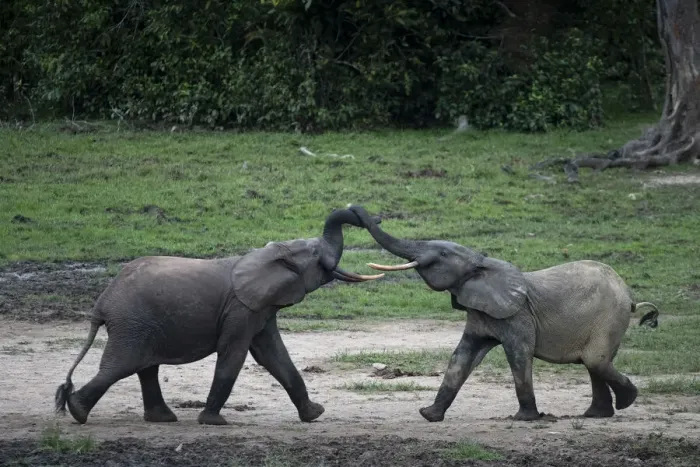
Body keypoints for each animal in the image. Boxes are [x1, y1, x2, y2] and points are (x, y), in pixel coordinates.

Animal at [55, 208, 384, 426]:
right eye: (317, 254)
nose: (373, 217)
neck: (268, 255)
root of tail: (101, 303)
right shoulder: (241, 308)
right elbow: (234, 355)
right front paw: (213, 422)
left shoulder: (259, 308)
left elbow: (274, 356)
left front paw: (315, 414)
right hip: (132, 323)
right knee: (122, 365)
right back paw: (78, 412)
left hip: (139, 325)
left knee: (144, 367)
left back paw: (162, 419)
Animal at [348, 205, 659, 422]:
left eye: (443, 255)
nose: (356, 210)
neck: (483, 263)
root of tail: (630, 297)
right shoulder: (480, 313)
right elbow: (461, 358)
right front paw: (429, 415)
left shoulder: (517, 315)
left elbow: (518, 355)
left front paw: (525, 419)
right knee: (594, 363)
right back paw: (597, 414)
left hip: (610, 317)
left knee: (595, 361)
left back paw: (627, 400)